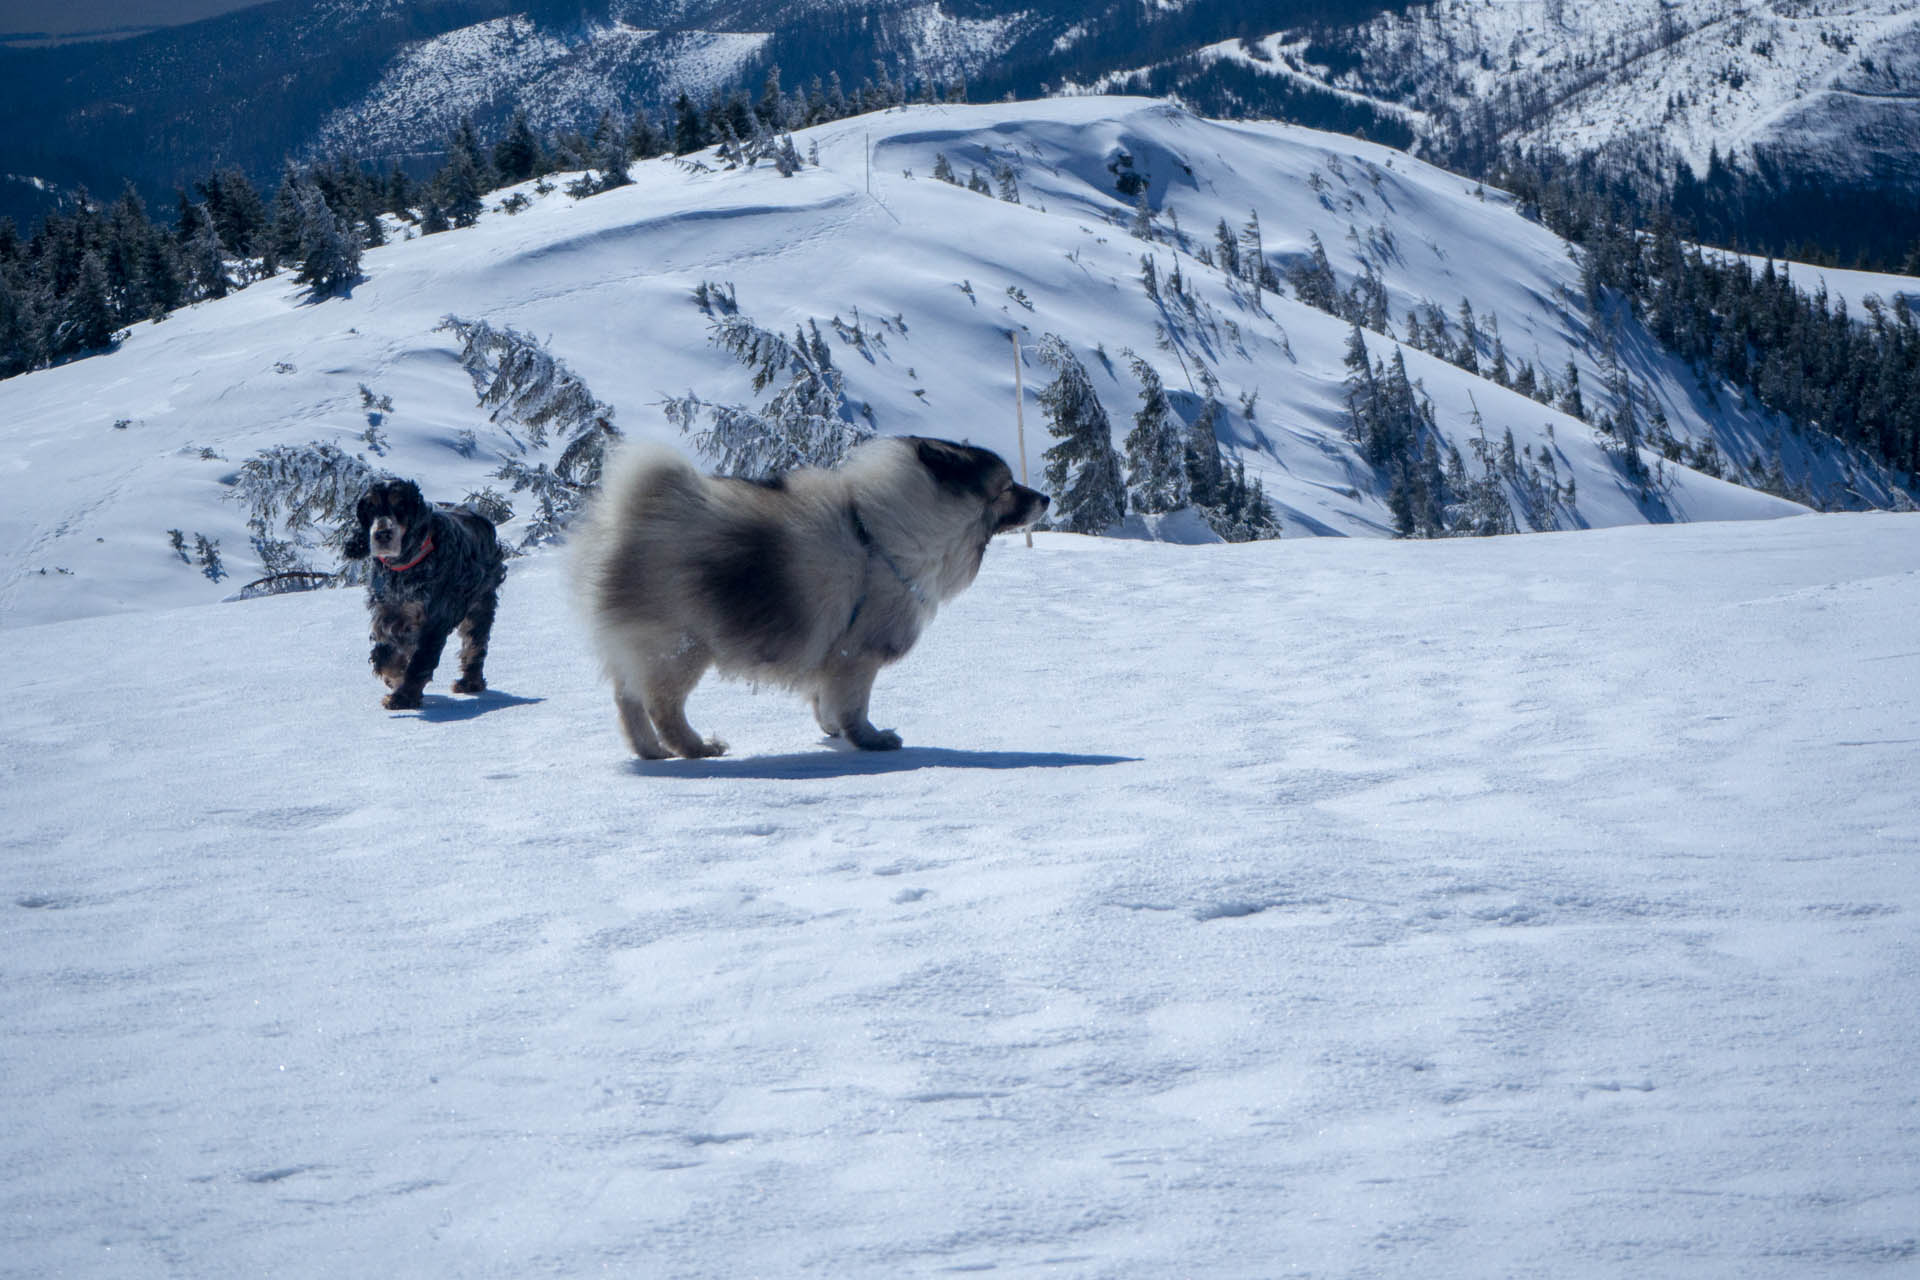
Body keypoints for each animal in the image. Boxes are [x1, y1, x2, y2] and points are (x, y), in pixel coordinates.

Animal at [568, 441, 1052, 759]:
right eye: (1008, 487)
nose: (1045, 497)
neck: (889, 536)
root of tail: (633, 515)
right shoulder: (858, 653)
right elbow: (855, 704)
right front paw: (871, 739)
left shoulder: (834, 655)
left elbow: (825, 699)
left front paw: (833, 730)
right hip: (681, 648)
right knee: (662, 706)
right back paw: (695, 747)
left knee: (628, 701)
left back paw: (651, 751)